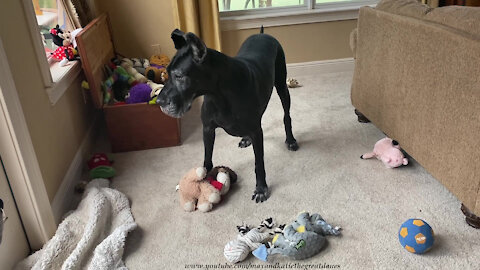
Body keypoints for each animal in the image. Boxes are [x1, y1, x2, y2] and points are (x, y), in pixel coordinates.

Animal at [158, 27, 298, 202]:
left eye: (179, 76)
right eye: (167, 73)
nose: (158, 101)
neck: (218, 94)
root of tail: (262, 34)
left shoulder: (256, 131)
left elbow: (259, 163)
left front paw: (261, 188)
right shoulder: (208, 129)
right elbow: (207, 159)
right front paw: (201, 181)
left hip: (281, 85)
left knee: (286, 115)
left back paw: (291, 140)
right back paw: (246, 138)